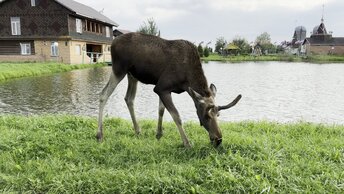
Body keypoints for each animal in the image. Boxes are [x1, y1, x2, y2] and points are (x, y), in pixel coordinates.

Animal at [97, 32, 242, 147]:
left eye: (218, 115)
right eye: (206, 116)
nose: (218, 139)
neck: (187, 79)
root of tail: (113, 42)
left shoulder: (165, 89)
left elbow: (161, 110)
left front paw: (159, 133)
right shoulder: (161, 87)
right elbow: (176, 115)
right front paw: (187, 143)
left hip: (132, 75)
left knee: (129, 98)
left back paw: (138, 130)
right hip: (118, 69)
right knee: (103, 94)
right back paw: (100, 134)